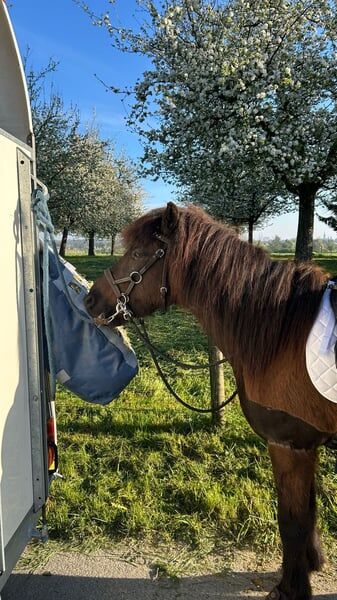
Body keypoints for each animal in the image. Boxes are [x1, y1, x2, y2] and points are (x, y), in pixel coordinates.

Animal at [84, 203, 336, 600]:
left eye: (139, 253)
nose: (90, 300)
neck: (282, 333)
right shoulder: (306, 446)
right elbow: (307, 513)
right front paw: (310, 564)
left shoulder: (289, 446)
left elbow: (292, 520)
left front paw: (291, 588)